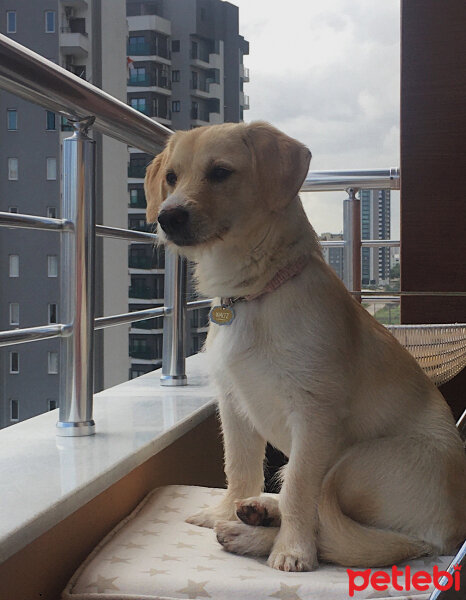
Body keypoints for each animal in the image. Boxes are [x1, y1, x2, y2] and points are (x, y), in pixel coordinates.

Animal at [146, 120, 466, 572]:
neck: (255, 293)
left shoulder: (313, 415)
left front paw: (292, 550)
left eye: (220, 172)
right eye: (172, 177)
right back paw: (254, 514)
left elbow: (299, 488)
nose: (167, 216)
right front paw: (224, 511)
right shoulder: (233, 405)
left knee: (337, 529)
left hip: (362, 461)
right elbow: (238, 467)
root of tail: (448, 534)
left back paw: (257, 535)